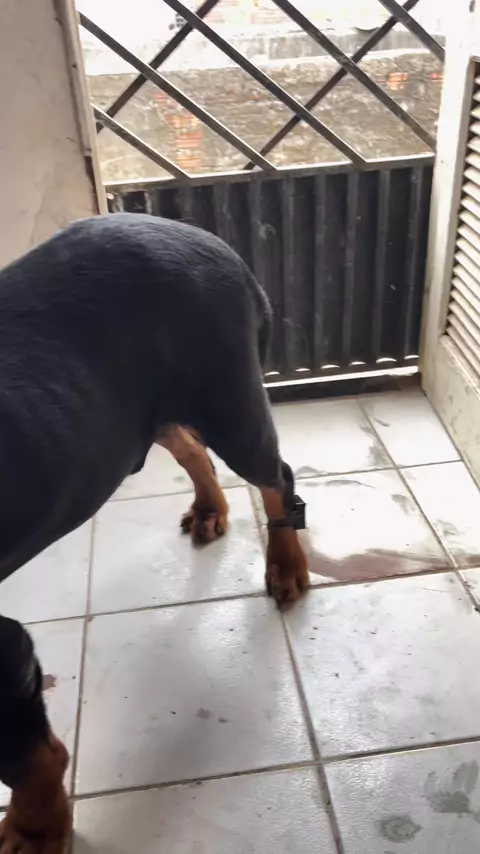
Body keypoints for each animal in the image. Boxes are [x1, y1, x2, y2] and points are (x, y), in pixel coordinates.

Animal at [0, 213, 308, 853]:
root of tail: (205, 236)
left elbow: (30, 758)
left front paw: (35, 831)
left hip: (229, 403)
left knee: (277, 477)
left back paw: (286, 564)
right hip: (140, 415)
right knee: (192, 448)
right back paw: (211, 508)